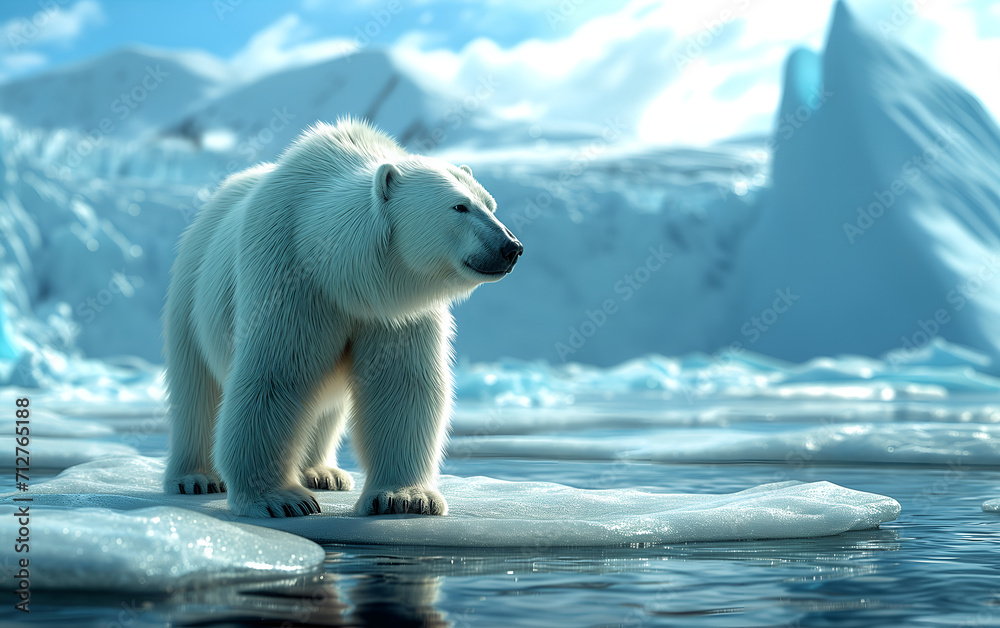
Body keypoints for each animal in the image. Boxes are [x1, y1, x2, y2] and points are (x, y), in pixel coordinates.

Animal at [162, 118, 522, 518]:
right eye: (459, 206)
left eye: (490, 204)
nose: (511, 247)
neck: (341, 276)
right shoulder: (290, 279)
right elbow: (277, 375)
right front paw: (281, 500)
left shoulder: (395, 311)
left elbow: (401, 383)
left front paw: (406, 498)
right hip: (190, 292)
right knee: (196, 389)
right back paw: (195, 477)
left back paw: (323, 473)